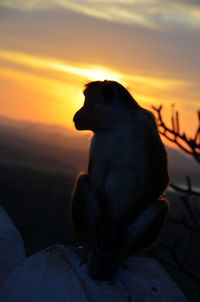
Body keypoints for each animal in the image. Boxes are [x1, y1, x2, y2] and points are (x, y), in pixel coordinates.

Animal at [70, 80, 169, 280]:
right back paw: (93, 252)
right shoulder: (97, 140)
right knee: (84, 182)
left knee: (160, 207)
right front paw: (107, 229)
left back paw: (116, 257)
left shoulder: (146, 127)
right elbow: (97, 178)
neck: (117, 125)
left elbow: (158, 177)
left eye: (87, 102)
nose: (76, 114)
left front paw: (116, 228)